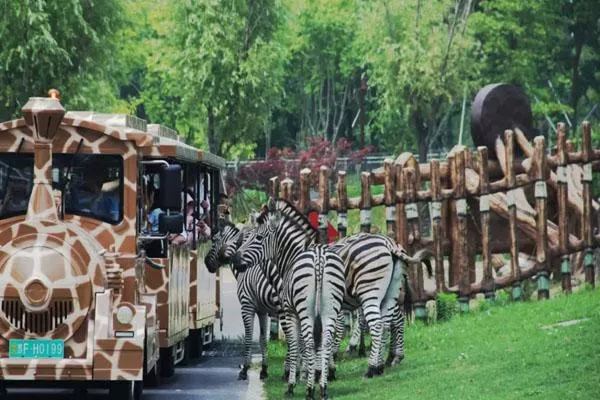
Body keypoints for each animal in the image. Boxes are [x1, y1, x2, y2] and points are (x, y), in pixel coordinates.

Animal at [236, 198, 346, 398]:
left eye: (257, 238)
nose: (235, 259)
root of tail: (319, 257)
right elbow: (306, 344)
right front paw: (313, 374)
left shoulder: (288, 310)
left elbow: (295, 344)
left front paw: (293, 382)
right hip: (330, 309)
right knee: (325, 341)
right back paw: (323, 388)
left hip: (305, 311)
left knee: (310, 343)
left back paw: (310, 390)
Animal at [256, 200, 432, 378]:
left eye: (256, 236)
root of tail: (390, 244)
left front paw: (311, 369)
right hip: (388, 292)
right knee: (390, 321)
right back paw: (387, 359)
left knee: (387, 321)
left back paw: (377, 365)